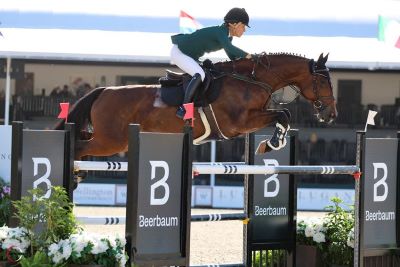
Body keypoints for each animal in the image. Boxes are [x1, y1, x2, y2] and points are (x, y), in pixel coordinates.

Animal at [55, 53, 338, 160]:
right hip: (111, 141)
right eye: (324, 81)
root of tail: (104, 91)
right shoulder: (238, 124)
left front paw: (271, 144)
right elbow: (283, 113)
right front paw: (271, 143)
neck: (251, 80)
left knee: (81, 143)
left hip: (112, 139)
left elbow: (284, 114)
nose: (331, 114)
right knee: (79, 147)